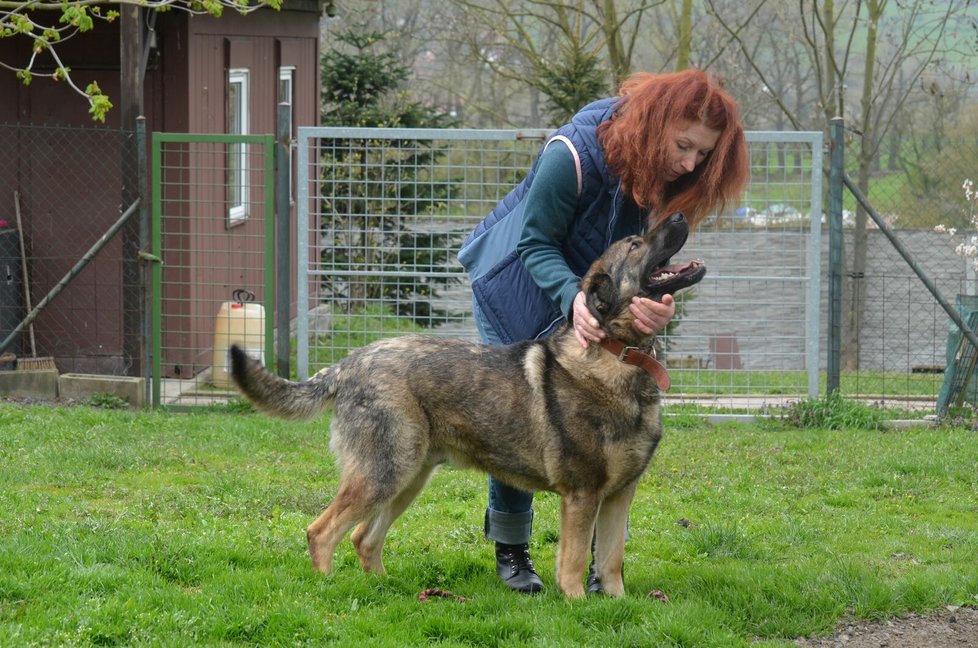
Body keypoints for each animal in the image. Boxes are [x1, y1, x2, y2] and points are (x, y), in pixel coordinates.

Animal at [229, 211, 700, 596]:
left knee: (364, 538)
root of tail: (349, 364)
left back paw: (385, 589)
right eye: (635, 244)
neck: (619, 356)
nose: (680, 215)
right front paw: (578, 606)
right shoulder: (582, 496)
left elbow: (611, 561)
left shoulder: (619, 495)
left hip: (408, 479)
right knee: (322, 532)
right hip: (384, 474)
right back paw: (330, 592)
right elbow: (574, 561)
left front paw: (616, 605)